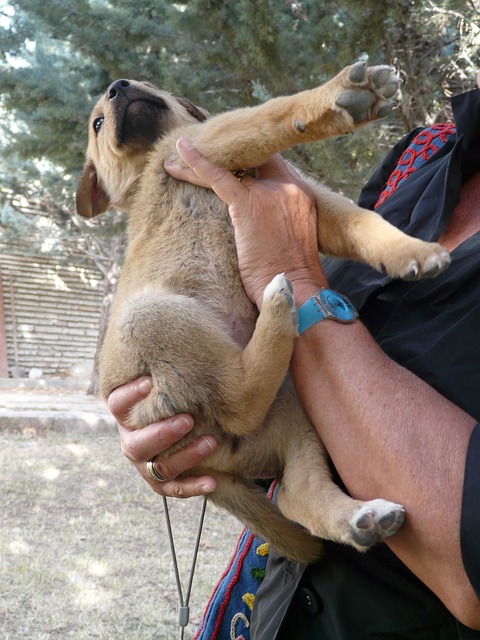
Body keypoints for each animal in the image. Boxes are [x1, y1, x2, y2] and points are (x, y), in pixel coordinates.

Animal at [76, 63, 450, 560]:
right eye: (97, 123)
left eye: (149, 85)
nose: (119, 87)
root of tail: (215, 475)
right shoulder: (203, 141)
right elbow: (273, 112)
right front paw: (347, 94)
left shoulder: (316, 203)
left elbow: (367, 224)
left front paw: (414, 251)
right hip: (153, 315)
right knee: (239, 402)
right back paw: (275, 308)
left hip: (299, 421)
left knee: (295, 492)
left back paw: (362, 519)